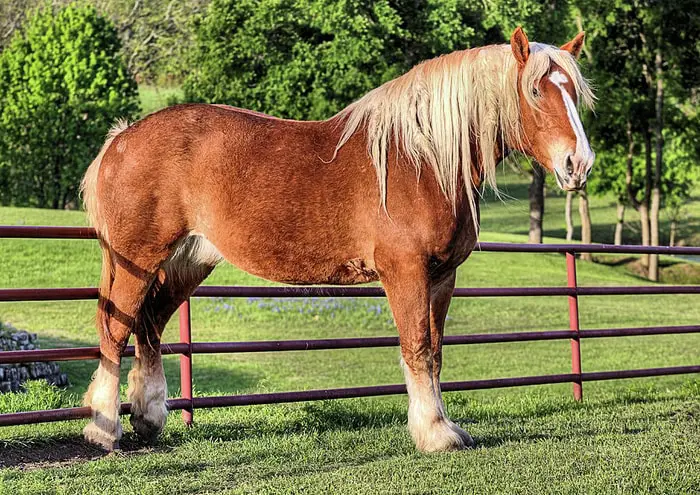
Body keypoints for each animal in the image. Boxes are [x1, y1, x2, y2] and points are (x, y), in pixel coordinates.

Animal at [82, 28, 596, 454]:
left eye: (576, 93)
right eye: (536, 91)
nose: (579, 164)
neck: (423, 160)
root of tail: (121, 139)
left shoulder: (441, 277)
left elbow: (435, 353)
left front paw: (445, 426)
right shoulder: (405, 273)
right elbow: (417, 348)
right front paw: (434, 433)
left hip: (187, 261)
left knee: (149, 325)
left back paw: (148, 418)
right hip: (136, 258)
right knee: (115, 329)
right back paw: (104, 429)